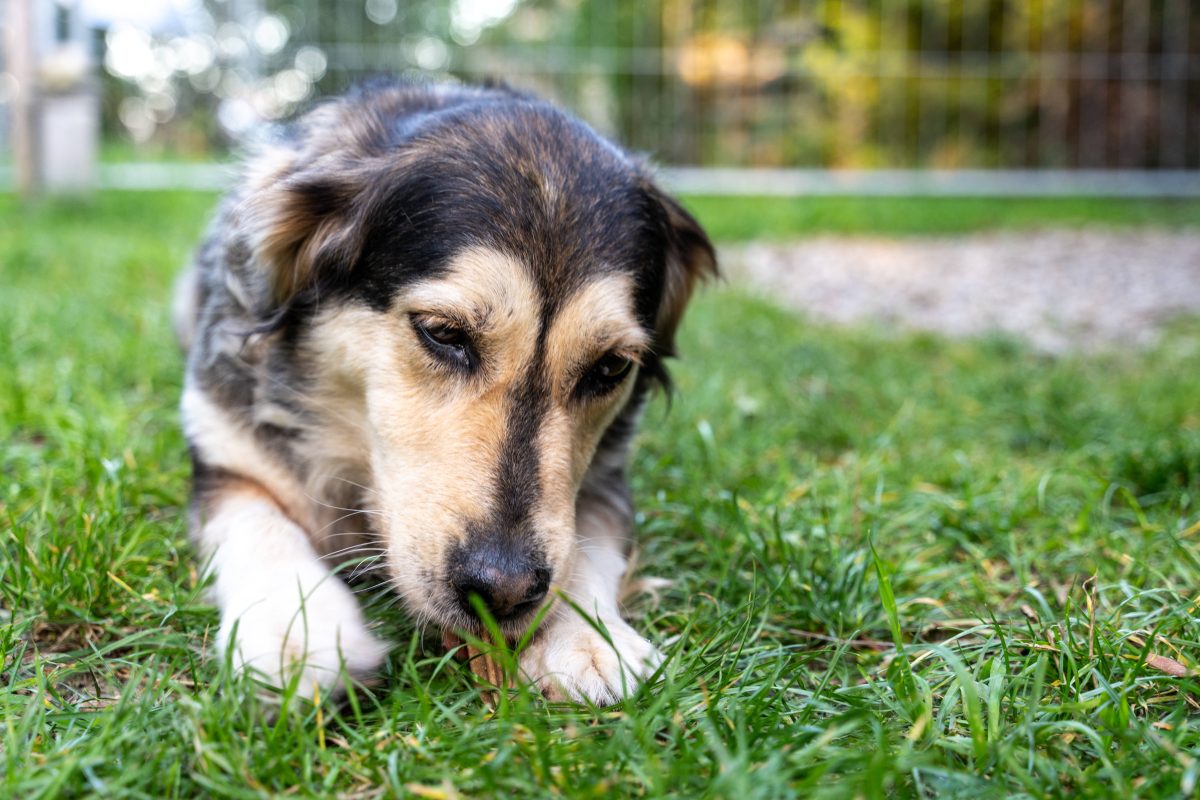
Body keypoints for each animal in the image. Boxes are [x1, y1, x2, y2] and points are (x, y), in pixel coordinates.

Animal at [175, 81, 715, 705]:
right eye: (443, 333)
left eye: (609, 368)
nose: (504, 590)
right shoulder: (226, 452)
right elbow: (258, 520)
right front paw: (299, 631)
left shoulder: (607, 477)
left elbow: (590, 538)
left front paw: (587, 636)